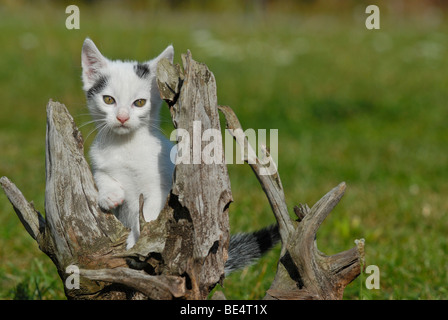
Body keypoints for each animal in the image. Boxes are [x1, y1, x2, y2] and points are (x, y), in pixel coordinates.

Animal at [80, 37, 276, 272]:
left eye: (139, 103)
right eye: (109, 100)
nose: (122, 117)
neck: (125, 145)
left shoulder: (162, 184)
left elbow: (150, 212)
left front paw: (138, 238)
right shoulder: (100, 160)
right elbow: (100, 174)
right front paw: (109, 195)